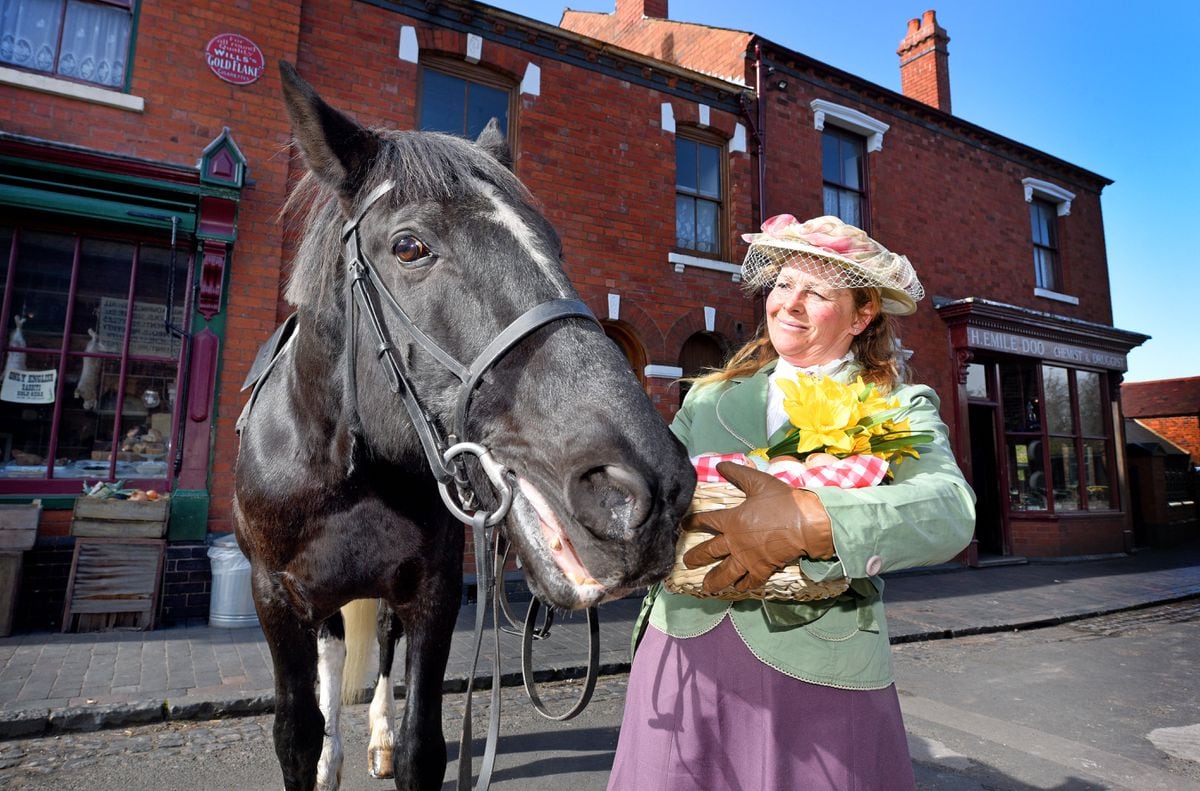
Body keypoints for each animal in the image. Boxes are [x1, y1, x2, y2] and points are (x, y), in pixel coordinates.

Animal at [232, 63, 696, 791]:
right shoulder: (275, 596)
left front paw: (392, 742)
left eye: (553, 245)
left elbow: (423, 744)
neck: (348, 468)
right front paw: (322, 751)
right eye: (409, 246)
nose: (648, 487)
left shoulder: (435, 590)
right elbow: (296, 736)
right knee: (334, 656)